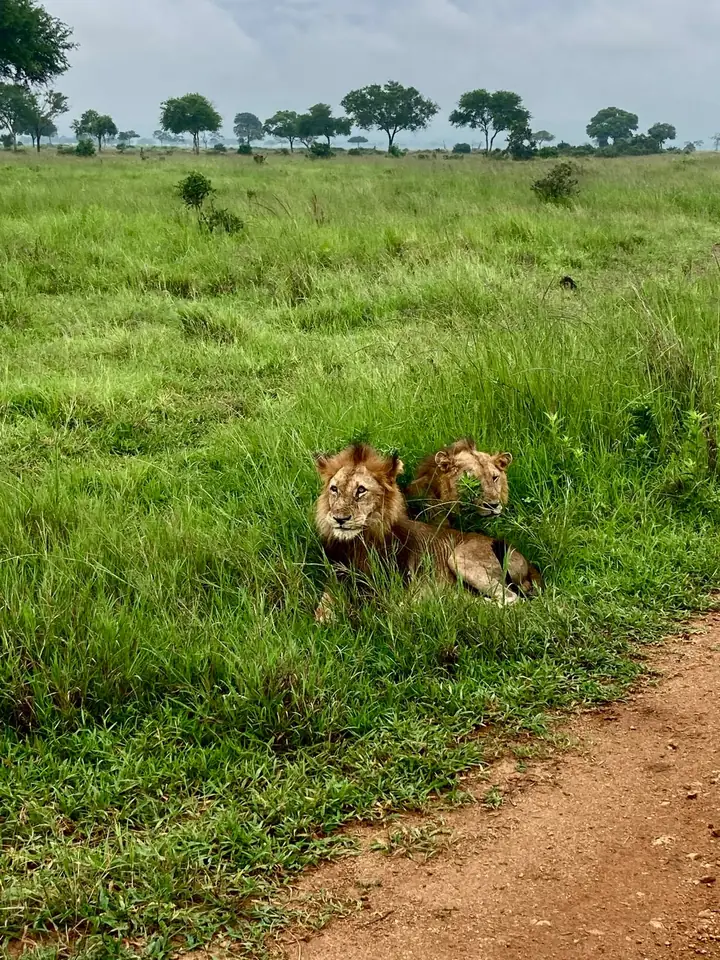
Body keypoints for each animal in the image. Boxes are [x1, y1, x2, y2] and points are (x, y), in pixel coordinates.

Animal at [313, 443, 535, 621]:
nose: (339, 518)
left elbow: (385, 607)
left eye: (361, 490)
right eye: (334, 489)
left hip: (460, 557)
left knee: (511, 600)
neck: (360, 542)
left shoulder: (392, 591)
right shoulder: (337, 579)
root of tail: (528, 563)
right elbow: (321, 615)